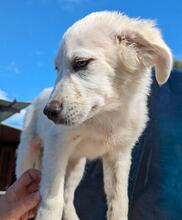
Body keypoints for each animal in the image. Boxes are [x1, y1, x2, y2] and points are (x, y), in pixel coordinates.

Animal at [15, 11, 172, 219]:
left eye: (81, 63)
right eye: (57, 69)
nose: (48, 112)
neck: (106, 115)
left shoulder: (119, 156)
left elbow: (119, 202)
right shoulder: (56, 145)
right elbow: (51, 200)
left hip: (76, 165)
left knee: (68, 195)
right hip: (28, 152)